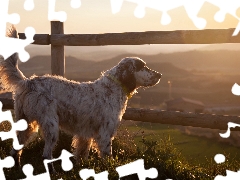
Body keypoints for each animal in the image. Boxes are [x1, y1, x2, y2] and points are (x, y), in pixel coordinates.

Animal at [0, 26, 161, 172]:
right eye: (143, 66)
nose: (159, 75)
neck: (113, 87)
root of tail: (28, 82)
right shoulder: (105, 133)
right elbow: (107, 156)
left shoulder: (85, 134)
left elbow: (82, 154)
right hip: (51, 125)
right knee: (46, 155)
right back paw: (53, 172)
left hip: (26, 123)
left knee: (15, 149)